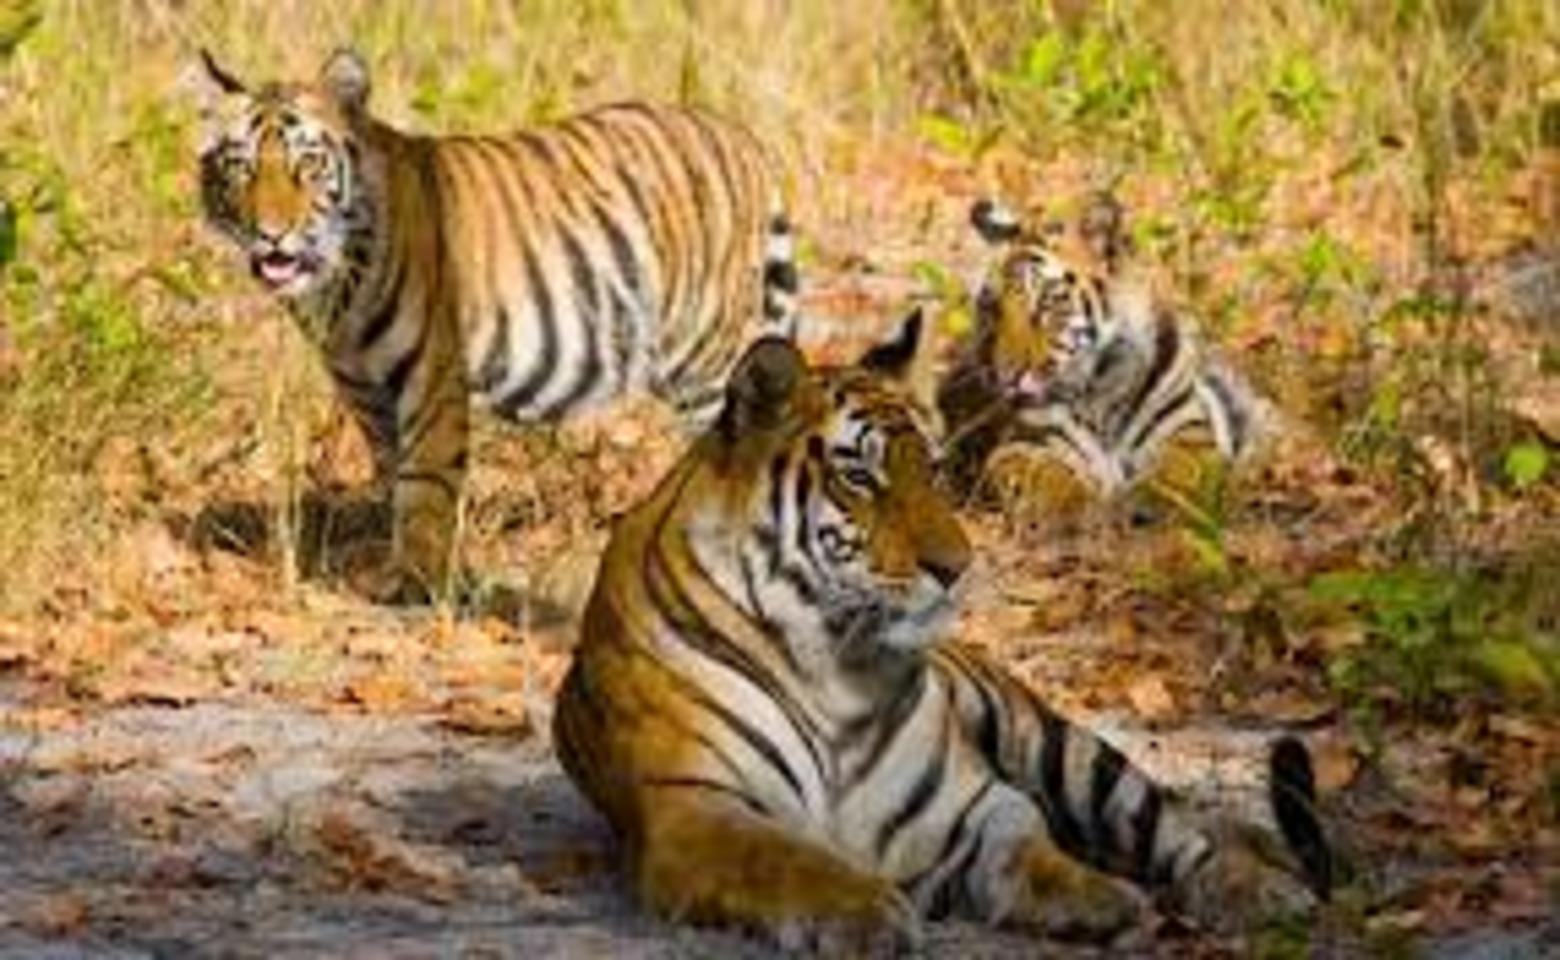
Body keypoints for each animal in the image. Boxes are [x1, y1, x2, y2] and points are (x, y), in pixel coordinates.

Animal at [193, 48, 799, 601]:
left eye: (309, 164)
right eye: (241, 166)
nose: (271, 234)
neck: (335, 287)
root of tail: (739, 136)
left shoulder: (432, 373)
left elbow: (425, 479)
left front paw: (415, 580)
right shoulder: (362, 386)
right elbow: (391, 471)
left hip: (705, 358)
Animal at [552, 312, 1331, 953]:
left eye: (928, 466)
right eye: (860, 476)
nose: (958, 566)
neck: (833, 666)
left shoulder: (973, 806)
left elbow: (1031, 851)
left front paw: (1099, 898)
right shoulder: (695, 806)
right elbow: (790, 859)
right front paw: (867, 911)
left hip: (1064, 748)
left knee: (1182, 828)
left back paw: (1260, 889)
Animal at [938, 193, 1264, 519]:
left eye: (1045, 304)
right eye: (992, 309)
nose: (1005, 377)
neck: (1102, 385)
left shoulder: (1190, 428)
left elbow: (1178, 474)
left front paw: (1146, 499)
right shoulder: (1017, 447)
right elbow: (1052, 484)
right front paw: (1099, 506)